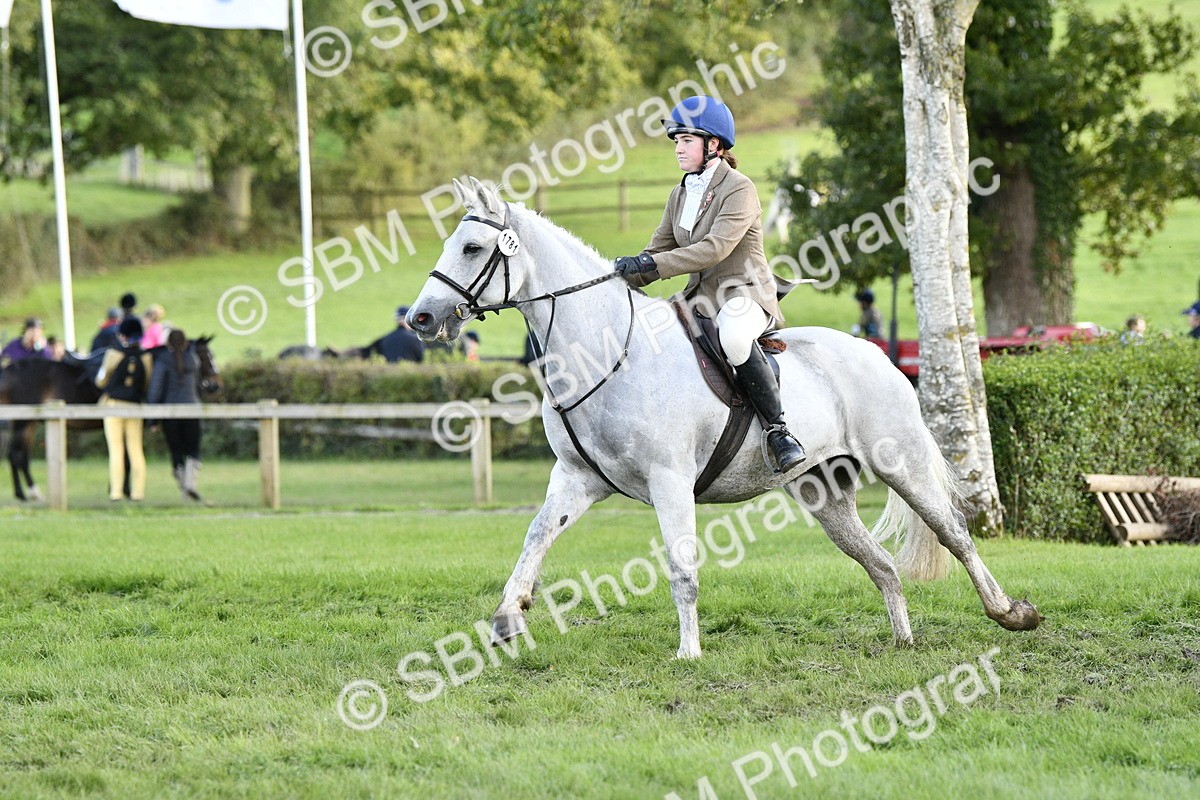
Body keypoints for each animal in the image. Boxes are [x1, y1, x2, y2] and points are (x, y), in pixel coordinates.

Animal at [0, 337, 221, 502]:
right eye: (205, 356)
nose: (215, 385)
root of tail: (10, 370)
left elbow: (124, 457)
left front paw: (118, 489)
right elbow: (127, 459)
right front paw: (123, 490)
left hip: (29, 423)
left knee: (18, 456)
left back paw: (26, 493)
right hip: (24, 423)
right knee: (17, 455)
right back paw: (29, 493)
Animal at [407, 178, 1041, 660]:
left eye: (470, 247)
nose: (420, 318)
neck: (601, 352)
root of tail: (876, 353)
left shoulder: (669, 481)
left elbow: (681, 567)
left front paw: (689, 652)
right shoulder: (577, 478)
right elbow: (536, 536)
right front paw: (508, 616)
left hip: (900, 463)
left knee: (954, 533)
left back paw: (1011, 613)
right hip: (825, 493)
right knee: (882, 564)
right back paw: (903, 640)